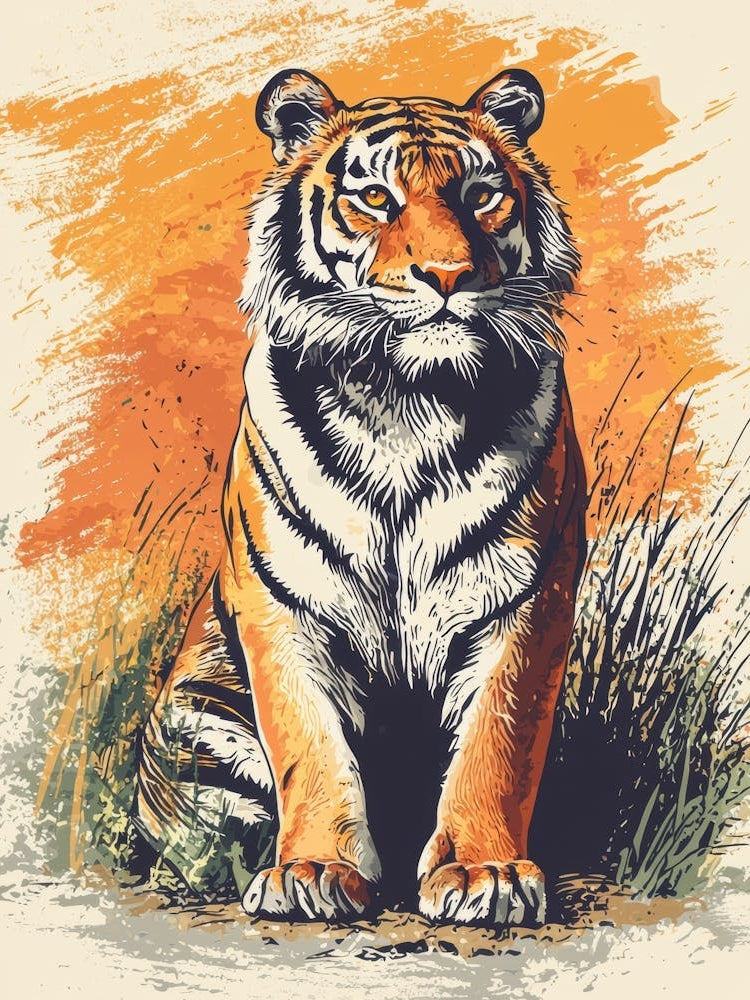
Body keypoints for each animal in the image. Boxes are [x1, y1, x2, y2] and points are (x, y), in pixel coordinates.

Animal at [134, 65, 587, 928]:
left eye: (482, 195)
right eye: (376, 197)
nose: (448, 277)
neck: (407, 400)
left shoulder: (526, 597)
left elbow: (497, 742)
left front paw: (484, 873)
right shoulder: (282, 604)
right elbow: (310, 745)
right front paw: (312, 870)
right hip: (193, 722)